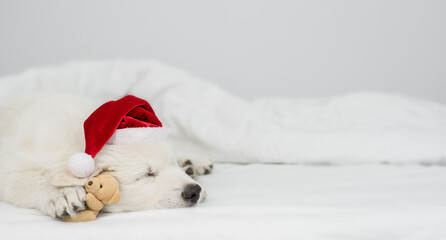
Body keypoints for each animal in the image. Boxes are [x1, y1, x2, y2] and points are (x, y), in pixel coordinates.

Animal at [0, 93, 213, 218]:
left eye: (171, 164)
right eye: (146, 175)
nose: (194, 191)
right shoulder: (12, 163)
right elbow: (26, 180)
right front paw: (62, 193)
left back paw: (194, 162)